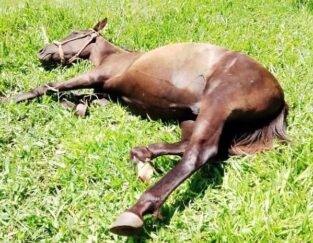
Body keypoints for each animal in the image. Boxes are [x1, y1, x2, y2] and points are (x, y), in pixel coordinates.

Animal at [7, 18, 288, 235]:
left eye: (75, 34)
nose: (42, 52)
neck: (115, 57)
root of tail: (280, 97)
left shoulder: (92, 77)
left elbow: (49, 86)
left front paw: (9, 98)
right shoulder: (106, 94)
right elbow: (84, 100)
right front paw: (74, 107)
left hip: (218, 102)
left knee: (199, 152)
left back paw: (136, 210)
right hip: (191, 117)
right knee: (196, 146)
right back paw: (142, 156)